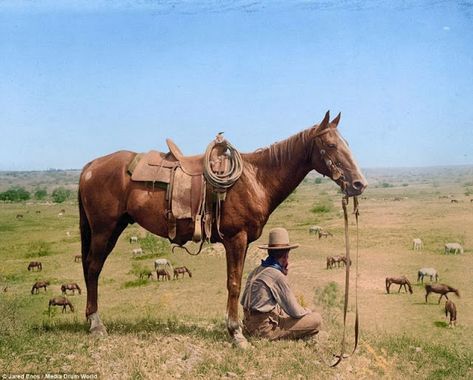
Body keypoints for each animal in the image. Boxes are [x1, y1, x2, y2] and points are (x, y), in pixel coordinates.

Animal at [77, 110, 366, 348]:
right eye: (331, 145)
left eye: (347, 144)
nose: (358, 184)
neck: (255, 178)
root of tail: (90, 167)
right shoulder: (236, 239)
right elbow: (234, 283)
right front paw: (236, 333)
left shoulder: (243, 241)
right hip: (104, 230)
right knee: (93, 268)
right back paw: (96, 324)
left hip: (114, 228)